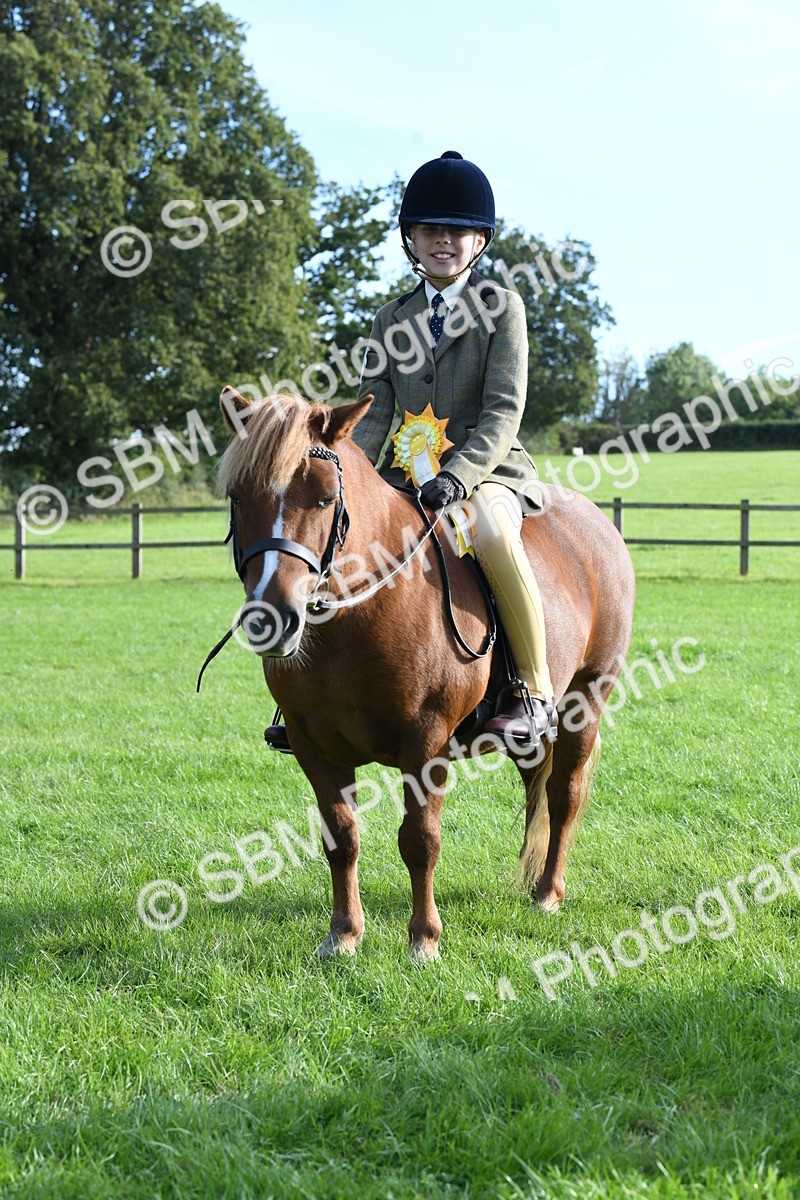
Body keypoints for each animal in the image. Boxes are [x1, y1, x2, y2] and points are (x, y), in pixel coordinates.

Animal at [214, 387, 636, 961]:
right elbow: (340, 838)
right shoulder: (312, 746)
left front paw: (424, 940)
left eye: (323, 498)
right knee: (536, 786)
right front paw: (343, 936)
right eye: (238, 496)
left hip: (585, 702)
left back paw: (548, 893)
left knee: (563, 794)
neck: (357, 616)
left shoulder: (426, 742)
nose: (271, 618)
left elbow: (419, 840)